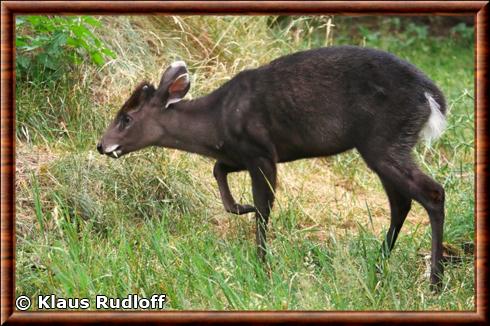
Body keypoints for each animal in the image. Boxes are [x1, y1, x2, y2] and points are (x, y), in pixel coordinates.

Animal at [97, 45, 446, 290]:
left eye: (126, 118)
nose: (102, 145)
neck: (217, 122)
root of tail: (431, 97)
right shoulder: (241, 154)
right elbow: (219, 171)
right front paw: (240, 207)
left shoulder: (262, 151)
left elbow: (264, 209)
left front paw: (262, 265)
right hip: (384, 145)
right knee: (402, 201)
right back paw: (378, 265)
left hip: (383, 140)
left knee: (432, 193)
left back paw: (434, 282)